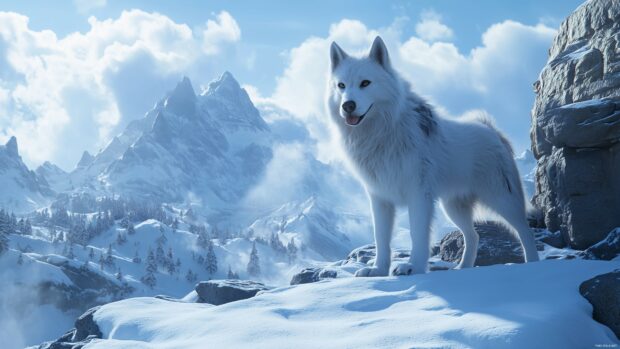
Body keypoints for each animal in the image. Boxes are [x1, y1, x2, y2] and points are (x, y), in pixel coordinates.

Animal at [326, 36, 540, 276]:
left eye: (365, 83)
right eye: (341, 86)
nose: (348, 105)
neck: (383, 132)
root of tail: (491, 130)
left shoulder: (418, 195)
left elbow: (417, 234)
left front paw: (414, 267)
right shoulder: (380, 198)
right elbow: (381, 238)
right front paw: (378, 270)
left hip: (502, 199)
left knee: (525, 231)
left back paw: (533, 265)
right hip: (453, 207)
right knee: (473, 235)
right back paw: (463, 267)